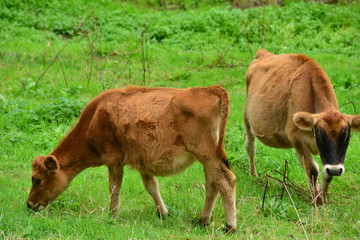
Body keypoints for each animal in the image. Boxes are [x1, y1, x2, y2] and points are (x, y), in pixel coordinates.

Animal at [27, 85, 236, 232]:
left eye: (37, 180)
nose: (29, 205)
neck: (93, 119)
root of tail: (211, 89)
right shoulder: (142, 160)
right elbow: (151, 186)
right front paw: (163, 213)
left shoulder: (114, 159)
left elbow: (114, 187)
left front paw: (112, 216)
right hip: (210, 157)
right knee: (212, 185)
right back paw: (203, 221)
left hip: (207, 155)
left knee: (226, 181)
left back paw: (230, 226)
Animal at [245, 49, 360, 204]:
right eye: (319, 136)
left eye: (347, 137)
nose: (336, 170)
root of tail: (263, 53)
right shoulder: (296, 137)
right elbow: (312, 169)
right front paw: (316, 200)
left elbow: (325, 174)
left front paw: (322, 196)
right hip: (247, 118)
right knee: (250, 145)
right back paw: (254, 175)